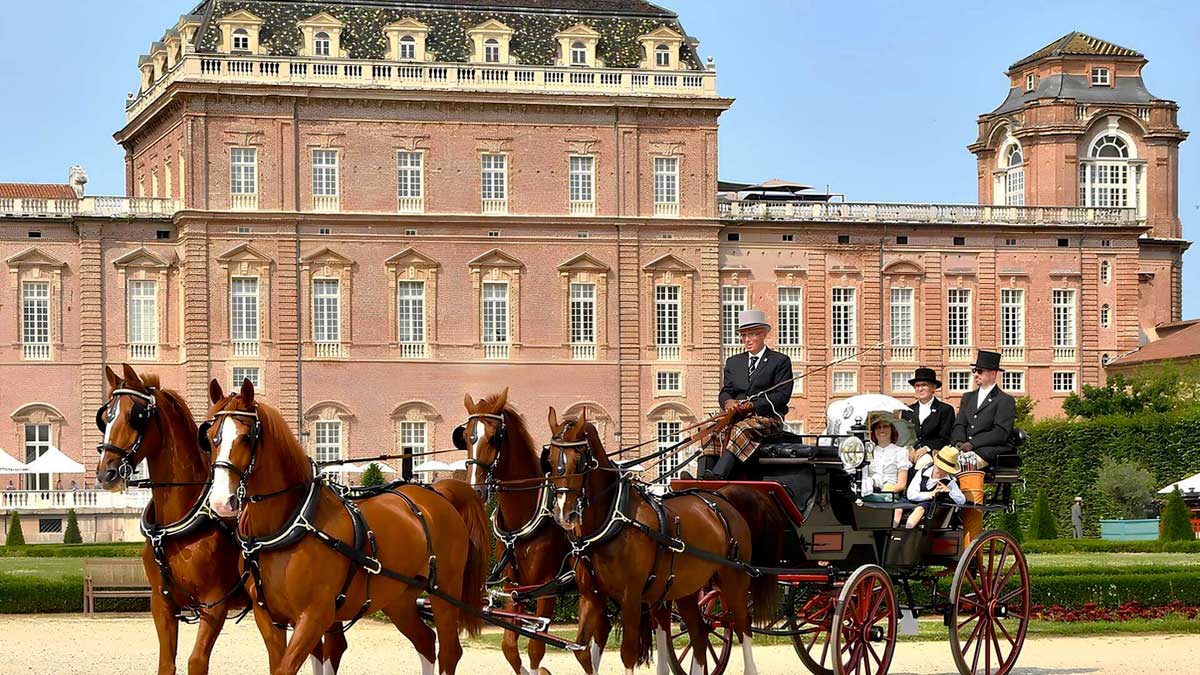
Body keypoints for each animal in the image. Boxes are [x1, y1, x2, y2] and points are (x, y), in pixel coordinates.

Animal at [93, 365, 348, 667]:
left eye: (136, 416)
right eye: (105, 417)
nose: (106, 473)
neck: (179, 520)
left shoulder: (214, 605)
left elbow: (196, 661)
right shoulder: (161, 603)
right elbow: (166, 663)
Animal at [202, 379, 487, 672]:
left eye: (247, 436)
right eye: (210, 436)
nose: (222, 501)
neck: (287, 526)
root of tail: (437, 493)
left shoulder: (314, 616)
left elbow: (287, 667)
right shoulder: (268, 617)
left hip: (444, 594)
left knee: (449, 651)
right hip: (399, 599)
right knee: (426, 641)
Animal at [456, 389, 614, 672]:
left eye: (495, 436)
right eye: (465, 437)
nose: (476, 490)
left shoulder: (546, 587)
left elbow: (535, 647)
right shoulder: (514, 588)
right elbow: (510, 647)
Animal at [542, 408, 772, 675]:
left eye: (579, 461)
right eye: (550, 460)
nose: (563, 514)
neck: (612, 519)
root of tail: (720, 498)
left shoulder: (631, 597)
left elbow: (628, 654)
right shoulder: (592, 596)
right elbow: (582, 652)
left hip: (733, 581)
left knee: (743, 628)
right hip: (687, 588)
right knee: (699, 634)